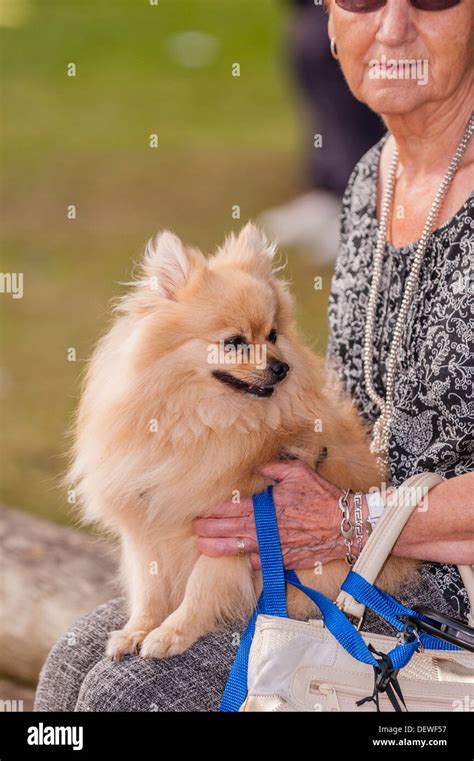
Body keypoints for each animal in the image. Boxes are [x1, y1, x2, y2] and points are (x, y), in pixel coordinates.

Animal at [68, 221, 416, 660]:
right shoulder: (147, 528)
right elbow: (149, 590)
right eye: (234, 343)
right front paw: (138, 629)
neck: (201, 422)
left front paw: (171, 632)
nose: (281, 367)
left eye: (272, 335)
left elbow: (201, 587)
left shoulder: (232, 530)